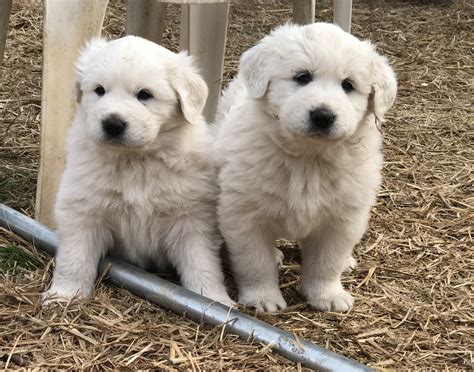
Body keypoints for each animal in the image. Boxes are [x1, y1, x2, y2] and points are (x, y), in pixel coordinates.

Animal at [44, 35, 233, 306]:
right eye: (99, 90)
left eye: (145, 95)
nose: (112, 124)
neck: (136, 160)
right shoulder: (82, 210)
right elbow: (75, 256)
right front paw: (65, 294)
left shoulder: (192, 217)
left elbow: (201, 262)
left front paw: (213, 299)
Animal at [215, 23, 396, 312]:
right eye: (302, 77)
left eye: (348, 85)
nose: (323, 116)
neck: (308, 159)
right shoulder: (243, 215)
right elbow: (255, 261)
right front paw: (263, 298)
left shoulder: (342, 221)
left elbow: (327, 263)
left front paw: (327, 295)